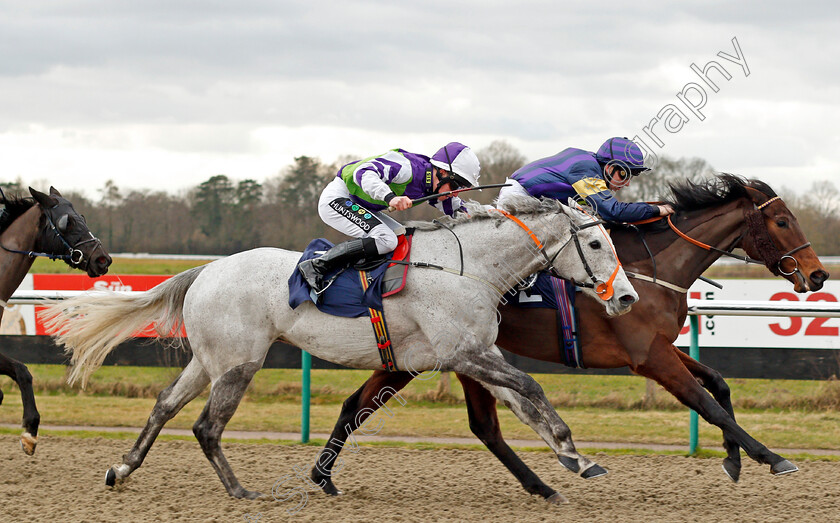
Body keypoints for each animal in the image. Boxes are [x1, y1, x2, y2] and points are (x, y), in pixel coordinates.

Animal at [308, 175, 828, 504]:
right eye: (783, 221)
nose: (819, 275)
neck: (649, 269)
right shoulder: (648, 356)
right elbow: (706, 403)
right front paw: (772, 457)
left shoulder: (660, 348)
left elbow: (718, 383)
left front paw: (734, 460)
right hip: (446, 355)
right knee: (468, 423)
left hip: (423, 355)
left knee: (363, 405)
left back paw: (323, 477)